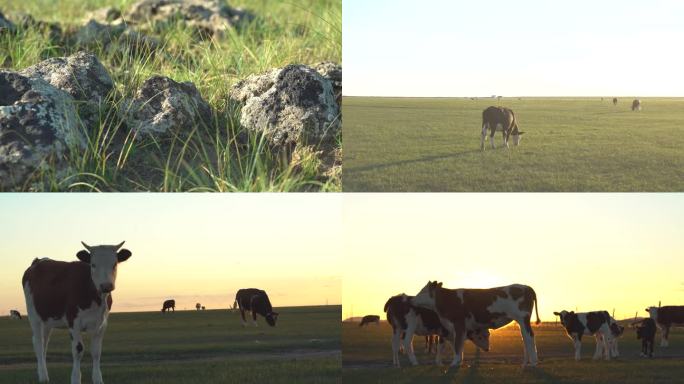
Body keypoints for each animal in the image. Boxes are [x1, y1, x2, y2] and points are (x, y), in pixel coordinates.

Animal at [22, 243, 132, 384]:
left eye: (114, 264)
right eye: (93, 264)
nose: (106, 286)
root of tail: (38, 261)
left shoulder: (102, 323)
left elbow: (96, 352)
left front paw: (98, 379)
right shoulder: (73, 322)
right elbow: (78, 350)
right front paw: (75, 378)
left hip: (47, 320)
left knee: (44, 343)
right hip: (34, 316)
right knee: (38, 343)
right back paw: (43, 377)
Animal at [408, 282, 536, 368]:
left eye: (423, 291)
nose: (412, 300)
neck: (449, 300)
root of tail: (526, 287)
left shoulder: (459, 324)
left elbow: (457, 344)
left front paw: (454, 363)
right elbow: (459, 344)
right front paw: (458, 362)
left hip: (523, 318)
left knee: (529, 337)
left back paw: (532, 363)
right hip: (521, 321)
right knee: (525, 338)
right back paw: (526, 363)